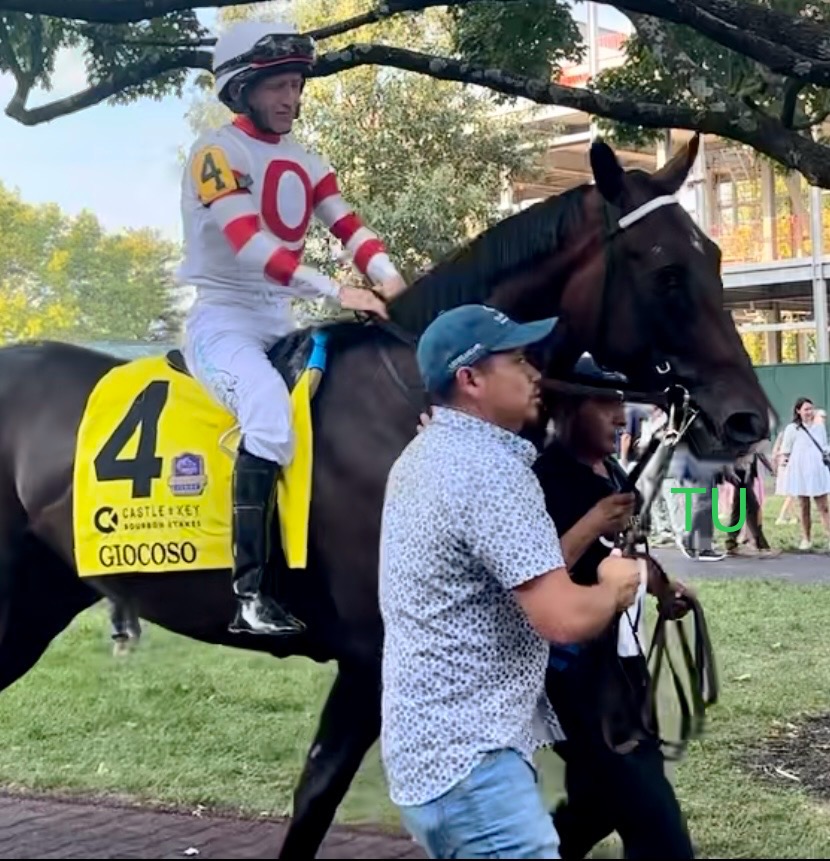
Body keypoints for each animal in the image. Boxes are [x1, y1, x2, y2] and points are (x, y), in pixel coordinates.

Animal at [0, 136, 772, 852]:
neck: (420, 402)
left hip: (43, 599)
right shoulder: (376, 652)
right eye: (666, 272)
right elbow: (319, 792)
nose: (747, 420)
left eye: (715, 256)